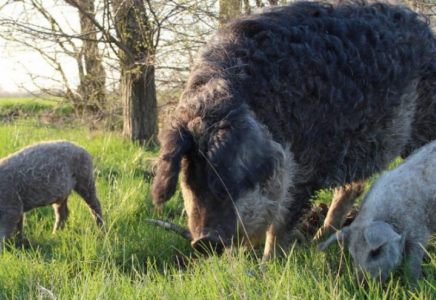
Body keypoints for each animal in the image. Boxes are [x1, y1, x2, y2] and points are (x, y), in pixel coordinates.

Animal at [152, 0, 436, 258]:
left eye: (228, 178)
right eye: (189, 175)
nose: (204, 241)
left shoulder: (306, 165)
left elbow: (280, 222)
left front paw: (267, 265)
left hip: (420, 127)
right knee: (351, 188)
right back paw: (317, 242)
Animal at [318, 139, 436, 282]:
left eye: (375, 252)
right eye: (353, 254)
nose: (361, 283)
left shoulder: (418, 231)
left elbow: (412, 263)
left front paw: (414, 283)